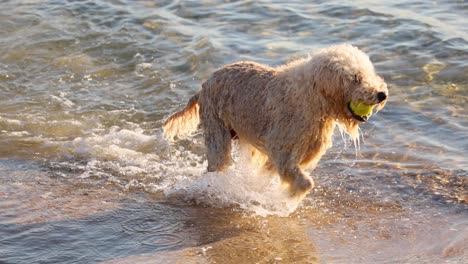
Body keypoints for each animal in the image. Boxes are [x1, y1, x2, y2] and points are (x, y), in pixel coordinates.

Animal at [163, 44, 390, 198]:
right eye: (355, 78)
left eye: (368, 73)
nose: (382, 94)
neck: (313, 99)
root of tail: (203, 86)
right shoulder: (282, 150)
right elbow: (304, 182)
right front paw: (288, 199)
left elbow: (268, 174)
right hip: (216, 132)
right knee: (218, 163)